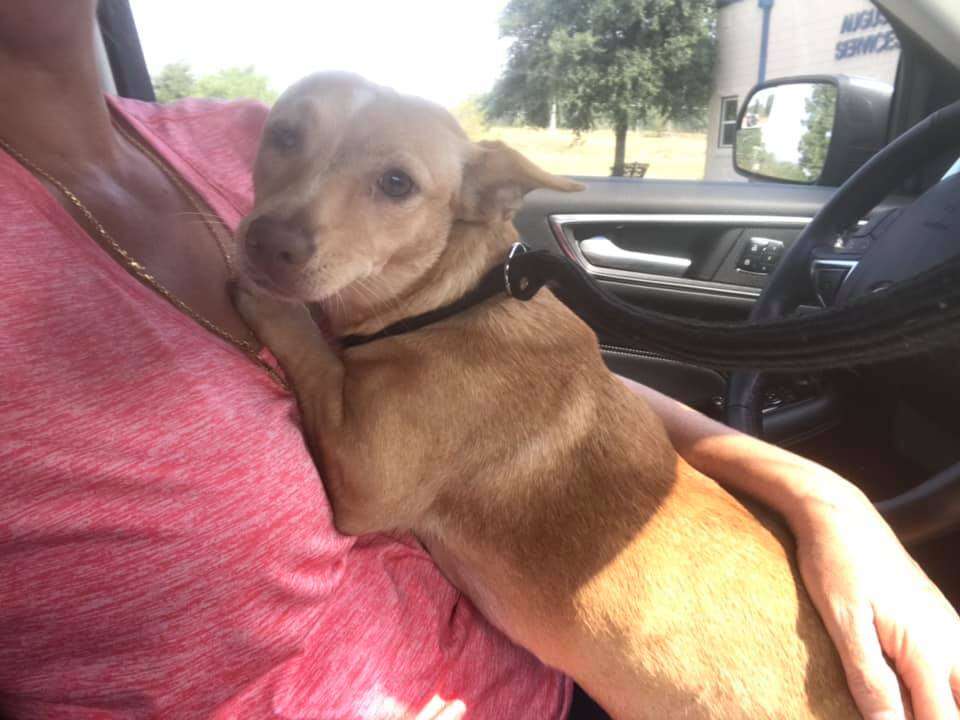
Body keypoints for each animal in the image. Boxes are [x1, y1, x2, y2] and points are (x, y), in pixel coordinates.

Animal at [236, 74, 860, 720]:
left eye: (397, 184)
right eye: (284, 134)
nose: (267, 243)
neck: (453, 303)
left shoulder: (364, 482)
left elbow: (313, 352)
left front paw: (274, 309)